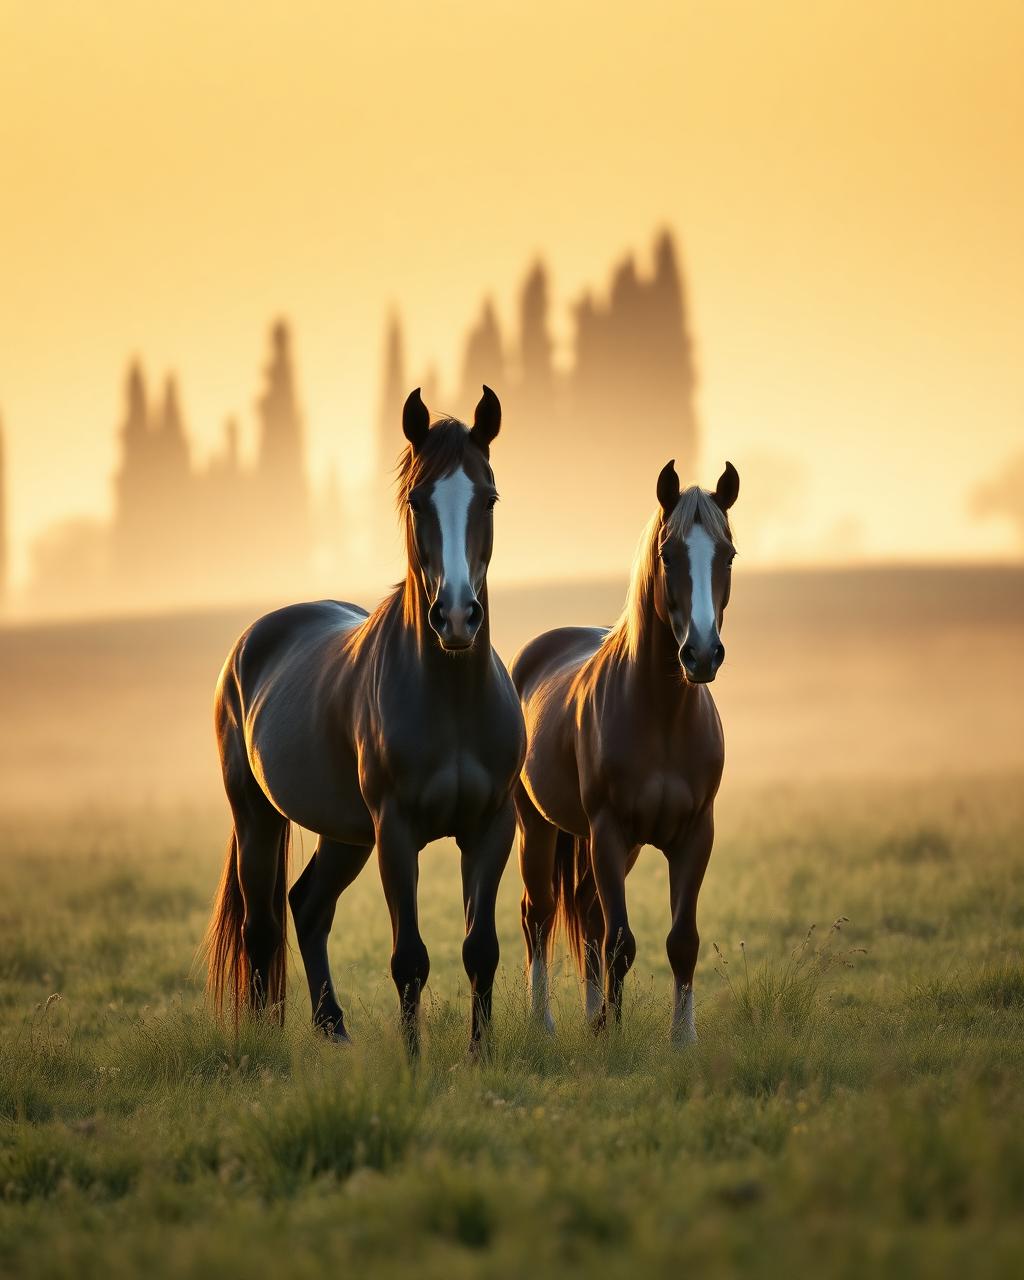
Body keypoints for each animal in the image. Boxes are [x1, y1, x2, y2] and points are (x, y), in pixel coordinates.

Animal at [203, 386, 526, 1055]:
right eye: (416, 499)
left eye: (488, 497)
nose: (457, 617)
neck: (452, 699)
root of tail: (252, 641)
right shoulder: (395, 830)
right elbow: (410, 957)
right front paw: (413, 1060)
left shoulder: (491, 826)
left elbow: (480, 948)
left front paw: (480, 1055)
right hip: (256, 816)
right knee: (261, 926)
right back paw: (265, 1039)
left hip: (344, 834)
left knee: (307, 906)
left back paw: (333, 1029)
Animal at [512, 458, 740, 1043]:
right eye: (668, 554)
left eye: (727, 554)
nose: (701, 654)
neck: (661, 718)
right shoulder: (609, 830)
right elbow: (620, 941)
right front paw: (611, 1037)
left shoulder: (694, 835)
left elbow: (681, 942)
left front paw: (681, 1038)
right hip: (539, 827)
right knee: (539, 913)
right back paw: (543, 1022)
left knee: (587, 912)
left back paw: (591, 1013)